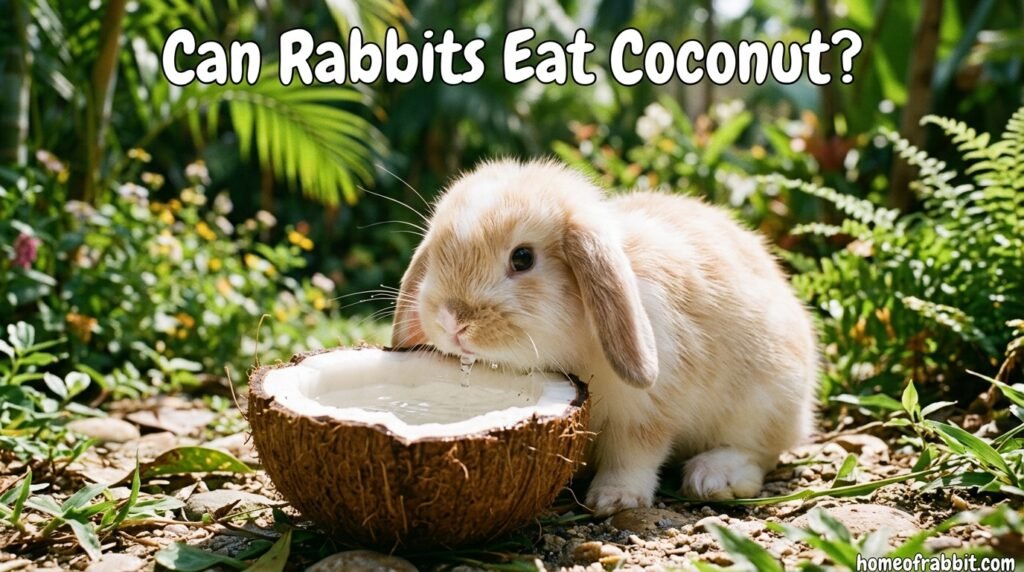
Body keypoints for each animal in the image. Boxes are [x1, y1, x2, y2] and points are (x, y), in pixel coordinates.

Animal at [391, 159, 818, 515]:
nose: (452, 320)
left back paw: (714, 476)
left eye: (523, 258)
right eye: (438, 254)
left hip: (763, 401)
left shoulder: (646, 410)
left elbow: (634, 453)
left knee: (760, 449)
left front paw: (614, 499)